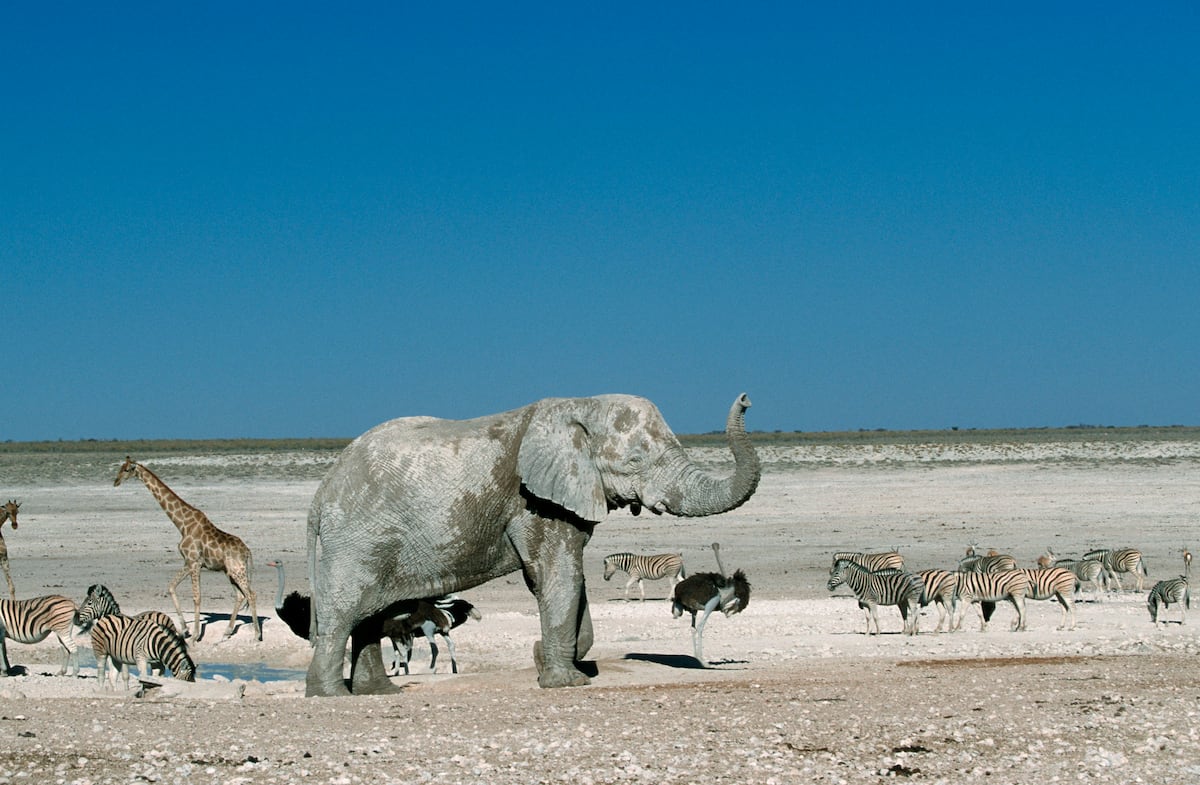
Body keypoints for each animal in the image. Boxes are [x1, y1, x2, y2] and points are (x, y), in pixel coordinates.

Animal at [304, 392, 760, 697]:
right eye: (634, 462)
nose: (746, 398)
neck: (581, 405)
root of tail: (322, 492)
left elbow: (567, 580)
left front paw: (546, 658)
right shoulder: (535, 501)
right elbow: (558, 577)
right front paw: (567, 682)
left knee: (368, 617)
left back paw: (378, 693)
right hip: (358, 539)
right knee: (345, 611)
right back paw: (332, 696)